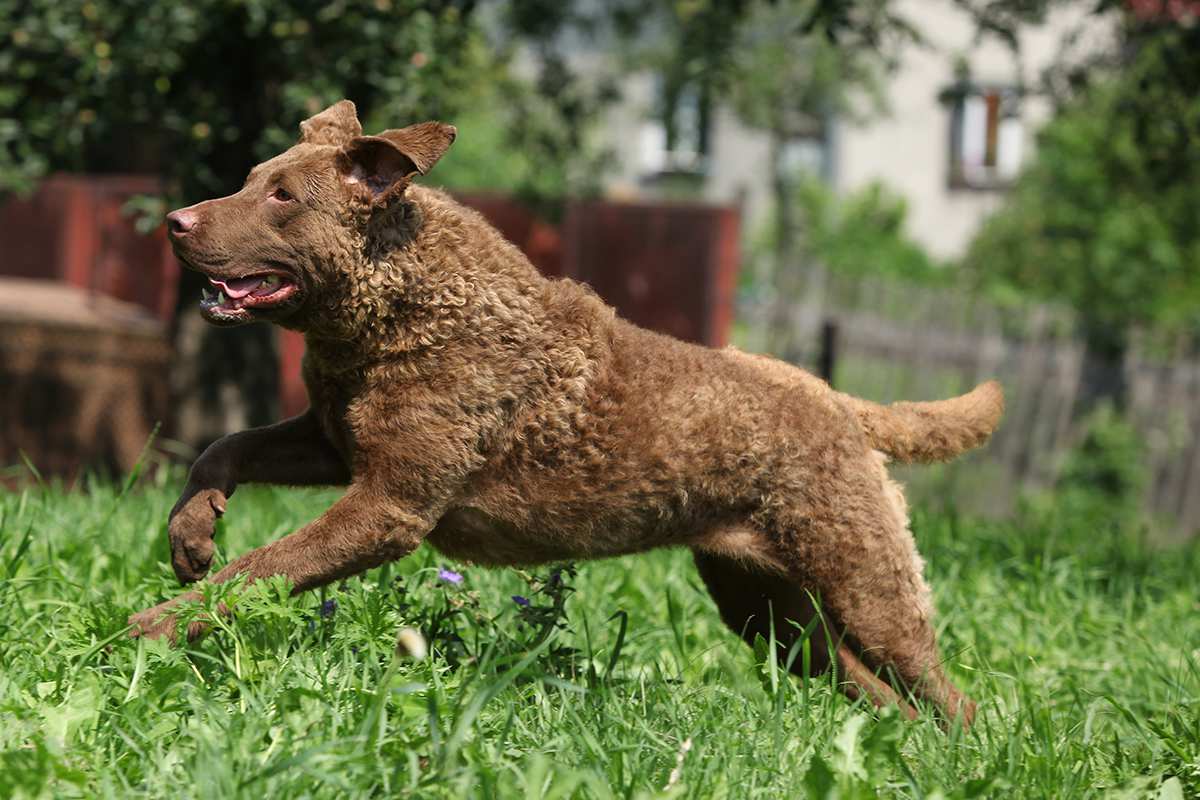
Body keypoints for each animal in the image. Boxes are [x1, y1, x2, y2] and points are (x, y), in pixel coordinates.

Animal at [133, 98, 1003, 724]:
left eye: (282, 197)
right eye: (251, 178)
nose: (174, 220)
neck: (400, 305)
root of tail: (843, 403)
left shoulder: (389, 503)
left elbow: (261, 568)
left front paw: (151, 628)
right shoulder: (334, 441)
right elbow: (225, 446)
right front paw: (191, 533)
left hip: (865, 584)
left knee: (949, 694)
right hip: (764, 606)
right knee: (872, 688)